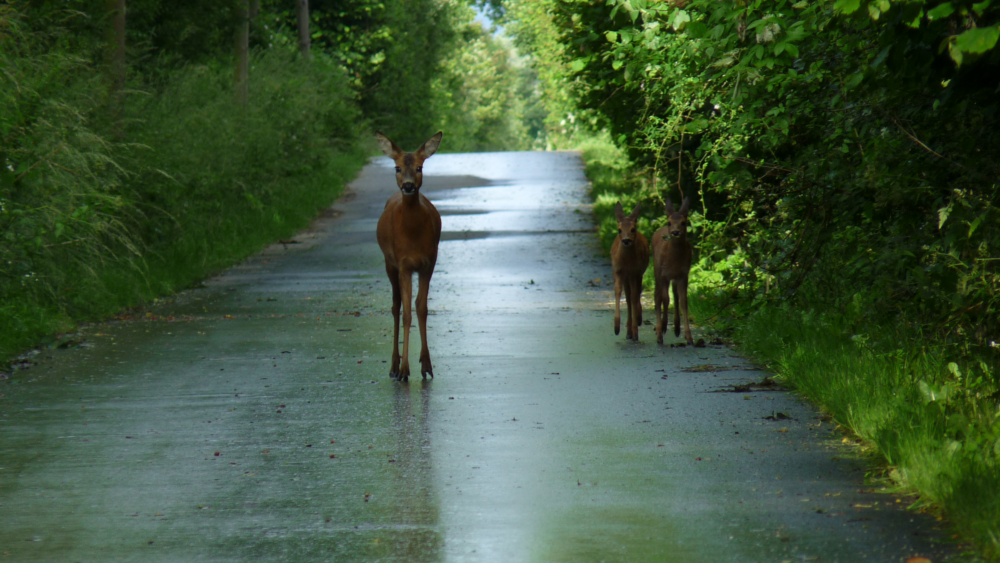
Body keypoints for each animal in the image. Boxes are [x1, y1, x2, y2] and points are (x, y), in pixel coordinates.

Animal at [374, 131, 443, 381]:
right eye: (397, 167)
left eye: (420, 167)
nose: (408, 186)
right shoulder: (403, 263)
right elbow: (405, 313)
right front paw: (405, 369)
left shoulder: (429, 262)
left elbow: (421, 308)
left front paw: (427, 365)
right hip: (389, 263)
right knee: (395, 306)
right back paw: (394, 366)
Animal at [611, 202, 650, 341]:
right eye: (619, 230)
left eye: (633, 229)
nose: (626, 240)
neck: (627, 262)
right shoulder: (617, 271)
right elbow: (618, 292)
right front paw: (616, 328)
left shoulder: (635, 272)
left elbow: (634, 296)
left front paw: (636, 332)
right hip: (627, 277)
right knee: (628, 296)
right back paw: (628, 332)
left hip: (639, 273)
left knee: (635, 294)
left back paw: (637, 321)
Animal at [652, 197, 694, 345]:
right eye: (669, 222)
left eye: (683, 222)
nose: (675, 232)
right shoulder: (663, 274)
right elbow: (665, 298)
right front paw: (662, 329)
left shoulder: (683, 274)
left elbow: (684, 301)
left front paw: (688, 336)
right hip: (657, 271)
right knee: (658, 295)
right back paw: (660, 329)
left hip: (673, 277)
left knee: (674, 294)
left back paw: (676, 328)